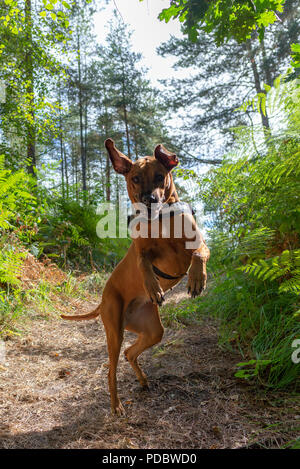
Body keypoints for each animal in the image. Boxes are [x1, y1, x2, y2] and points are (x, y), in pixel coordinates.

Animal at [61, 138, 210, 414]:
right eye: (135, 178)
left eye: (160, 176)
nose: (148, 200)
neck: (162, 221)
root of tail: (102, 301)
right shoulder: (142, 250)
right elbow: (142, 263)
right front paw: (152, 285)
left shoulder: (198, 243)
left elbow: (199, 254)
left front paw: (197, 278)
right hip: (114, 331)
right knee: (111, 370)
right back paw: (116, 405)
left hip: (152, 331)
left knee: (131, 352)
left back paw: (142, 381)